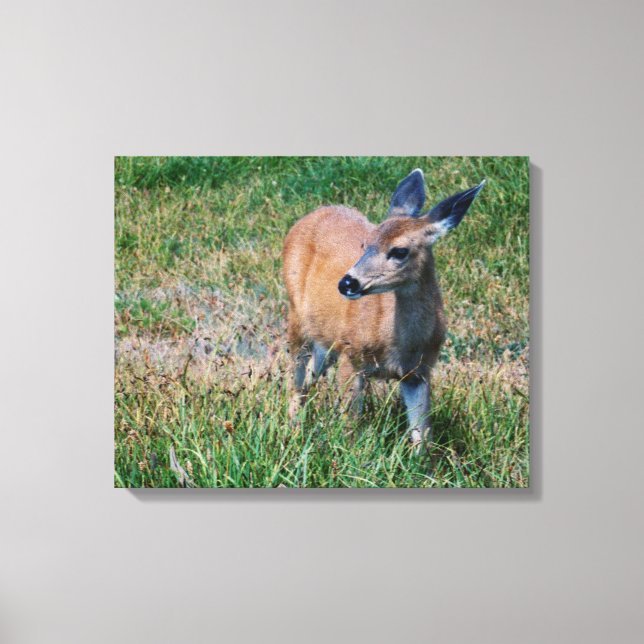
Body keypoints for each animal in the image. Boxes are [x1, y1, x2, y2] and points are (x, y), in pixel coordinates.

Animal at [282, 168, 485, 450]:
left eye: (400, 251)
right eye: (365, 244)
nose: (347, 283)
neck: (398, 344)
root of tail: (312, 214)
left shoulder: (419, 372)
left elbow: (423, 434)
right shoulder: (352, 355)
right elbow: (350, 426)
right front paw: (349, 454)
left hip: (326, 338)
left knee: (311, 373)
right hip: (296, 315)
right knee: (295, 378)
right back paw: (293, 430)